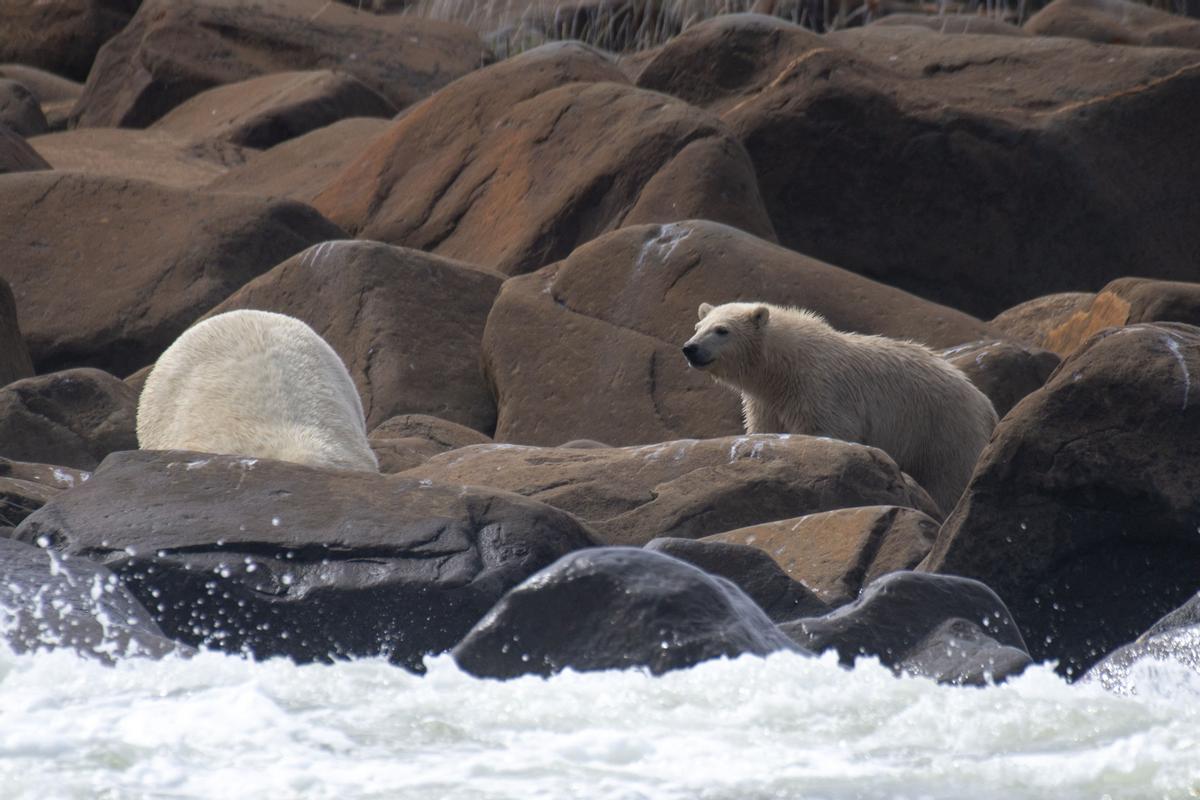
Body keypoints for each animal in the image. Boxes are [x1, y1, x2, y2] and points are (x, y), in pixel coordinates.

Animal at [681, 299, 998, 513]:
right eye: (698, 327)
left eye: (722, 330)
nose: (690, 348)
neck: (784, 368)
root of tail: (986, 404)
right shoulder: (766, 401)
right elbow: (765, 429)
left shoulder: (820, 389)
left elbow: (827, 432)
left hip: (944, 429)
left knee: (949, 479)